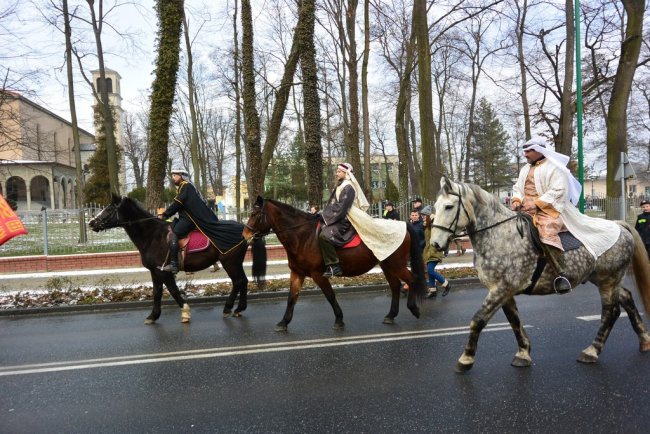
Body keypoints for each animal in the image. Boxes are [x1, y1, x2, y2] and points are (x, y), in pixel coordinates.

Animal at [88, 195, 266, 324]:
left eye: (109, 209)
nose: (91, 223)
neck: (151, 235)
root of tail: (246, 229)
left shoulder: (164, 272)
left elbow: (173, 291)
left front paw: (185, 311)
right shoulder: (155, 272)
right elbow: (157, 293)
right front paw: (153, 316)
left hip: (230, 262)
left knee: (239, 281)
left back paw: (231, 308)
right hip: (233, 262)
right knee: (241, 281)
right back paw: (236, 309)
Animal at [242, 197, 426, 332]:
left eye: (256, 214)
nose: (245, 234)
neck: (303, 236)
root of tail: (403, 224)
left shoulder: (318, 274)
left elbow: (330, 295)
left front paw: (339, 319)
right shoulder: (297, 273)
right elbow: (291, 298)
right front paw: (283, 322)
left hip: (396, 264)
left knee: (412, 279)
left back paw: (414, 309)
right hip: (387, 264)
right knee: (395, 286)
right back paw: (391, 315)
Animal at [426, 176, 648, 372]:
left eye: (449, 207)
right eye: (435, 207)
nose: (435, 244)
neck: (499, 235)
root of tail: (620, 225)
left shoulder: (501, 289)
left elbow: (478, 320)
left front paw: (466, 359)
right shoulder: (503, 291)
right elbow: (514, 321)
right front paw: (523, 353)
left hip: (608, 281)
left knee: (610, 312)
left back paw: (592, 351)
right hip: (603, 279)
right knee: (626, 298)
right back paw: (644, 340)